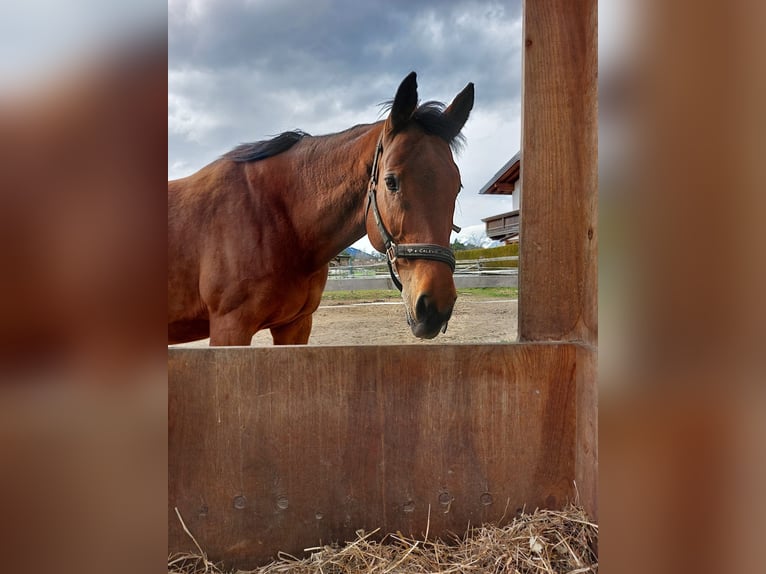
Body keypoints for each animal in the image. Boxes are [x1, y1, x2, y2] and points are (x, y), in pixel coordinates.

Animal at [170, 74, 474, 348]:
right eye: (391, 182)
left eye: (457, 186)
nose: (434, 308)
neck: (275, 218)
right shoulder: (230, 329)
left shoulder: (295, 326)